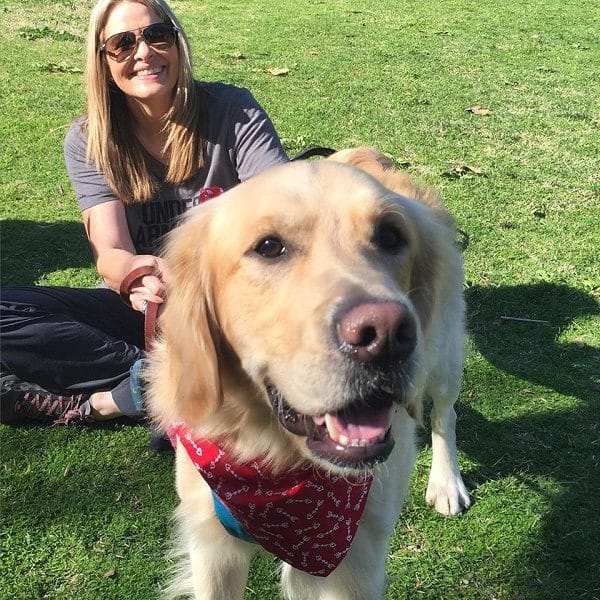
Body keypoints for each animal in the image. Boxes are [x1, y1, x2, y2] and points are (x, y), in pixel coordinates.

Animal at [148, 148, 472, 596]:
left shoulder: (356, 562)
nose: (386, 334)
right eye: (269, 247)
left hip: (443, 353)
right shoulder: (212, 546)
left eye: (390, 236)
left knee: (444, 415)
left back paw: (446, 482)